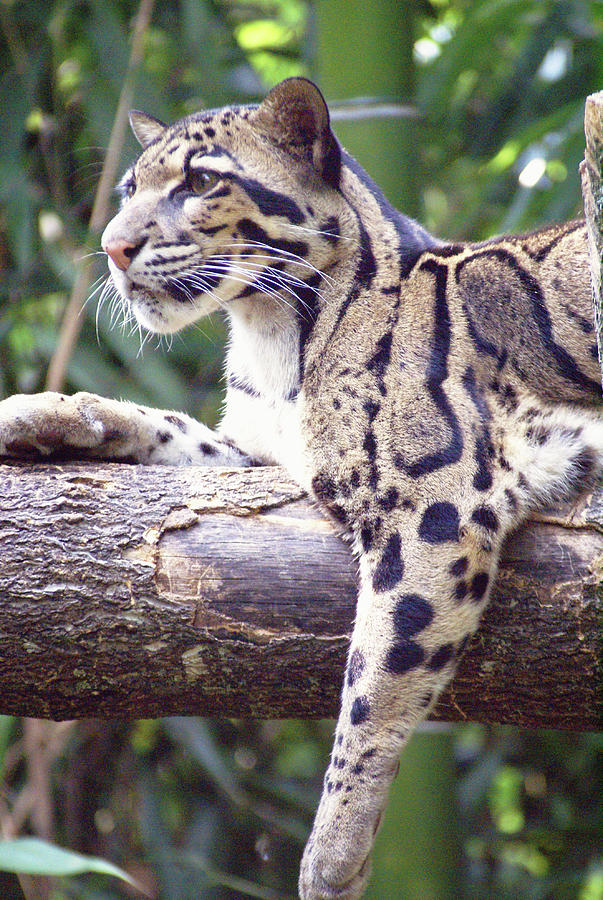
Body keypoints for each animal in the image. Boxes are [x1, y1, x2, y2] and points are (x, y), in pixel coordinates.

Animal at [1, 79, 603, 900]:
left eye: (199, 182)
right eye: (128, 190)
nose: (115, 248)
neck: (267, 332)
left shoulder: (435, 505)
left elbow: (377, 677)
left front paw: (334, 853)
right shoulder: (264, 453)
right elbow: (174, 429)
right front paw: (48, 413)